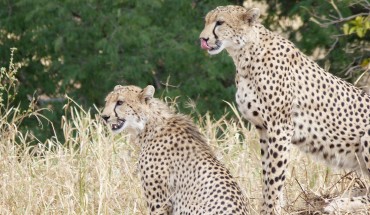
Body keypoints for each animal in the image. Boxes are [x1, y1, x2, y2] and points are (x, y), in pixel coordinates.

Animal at [199, 4, 370, 213]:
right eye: (206, 21)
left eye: (220, 22)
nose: (203, 39)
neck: (244, 54)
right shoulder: (263, 128)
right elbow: (267, 174)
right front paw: (268, 206)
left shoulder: (280, 127)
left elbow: (275, 175)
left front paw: (271, 209)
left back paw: (340, 204)